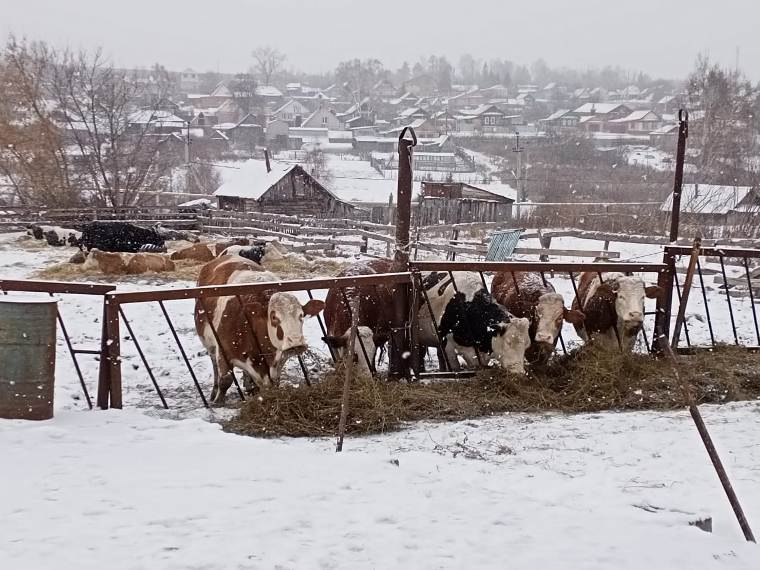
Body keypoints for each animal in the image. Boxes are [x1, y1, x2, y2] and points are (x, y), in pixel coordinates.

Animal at [194, 255, 326, 402]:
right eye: (274, 317)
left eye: (301, 315)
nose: (296, 342)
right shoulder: (223, 350)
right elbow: (225, 380)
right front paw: (218, 402)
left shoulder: (278, 361)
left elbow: (274, 382)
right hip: (209, 345)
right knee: (215, 366)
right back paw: (214, 391)